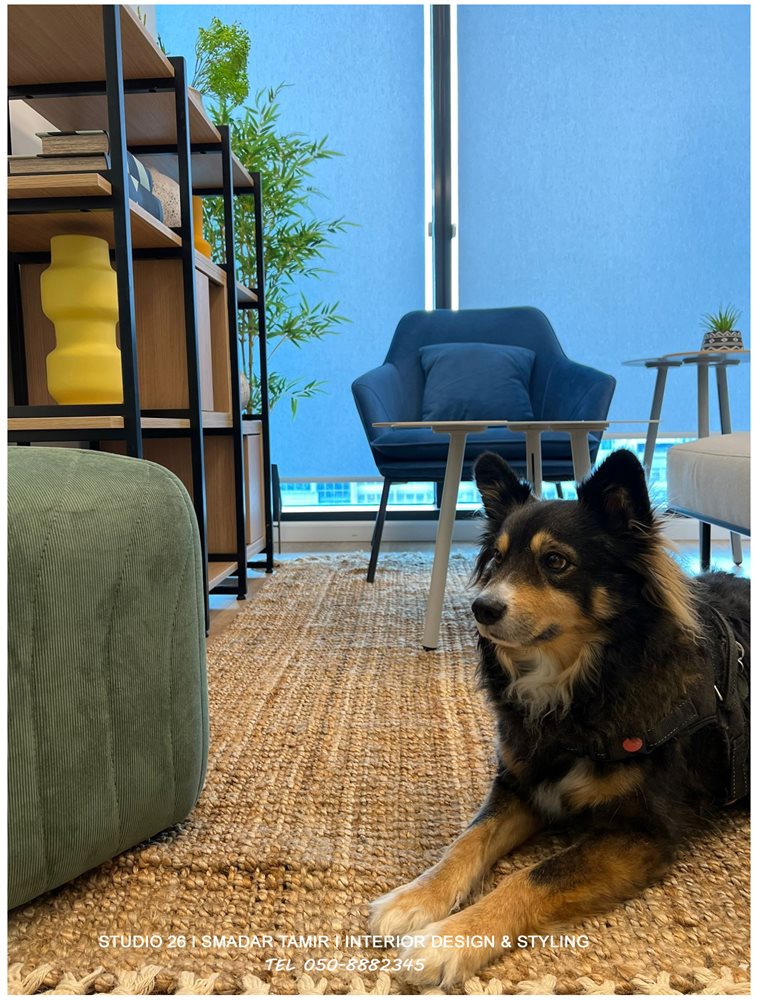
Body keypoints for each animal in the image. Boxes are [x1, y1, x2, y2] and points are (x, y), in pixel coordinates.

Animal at [369, 449, 749, 988]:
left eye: (556, 562)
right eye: (498, 559)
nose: (481, 609)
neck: (580, 684)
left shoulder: (639, 833)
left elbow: (534, 875)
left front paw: (448, 940)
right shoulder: (522, 783)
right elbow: (467, 840)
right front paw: (414, 899)